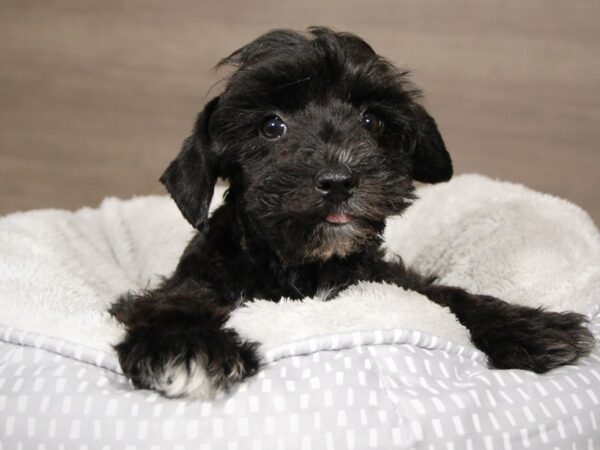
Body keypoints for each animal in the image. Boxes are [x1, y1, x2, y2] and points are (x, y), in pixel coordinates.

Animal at [109, 27, 596, 398]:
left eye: (372, 121)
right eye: (271, 126)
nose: (339, 180)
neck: (304, 266)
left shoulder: (388, 280)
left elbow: (444, 295)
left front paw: (528, 326)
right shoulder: (195, 280)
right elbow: (174, 301)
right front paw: (189, 347)